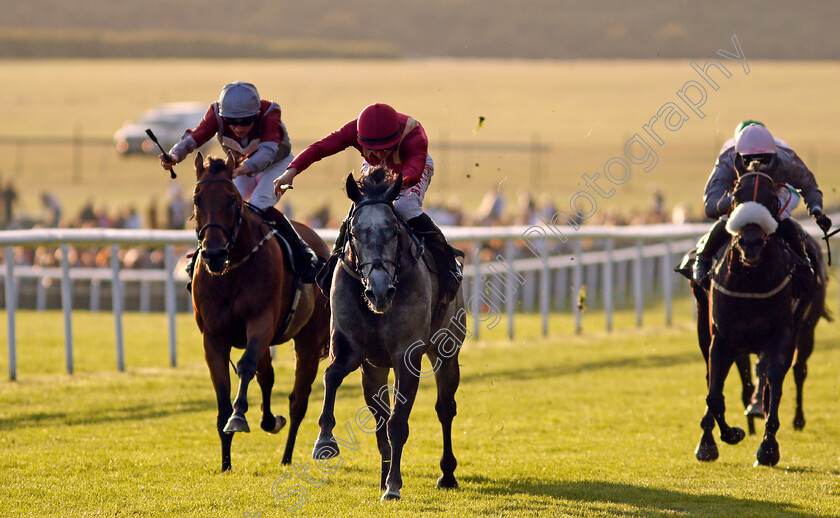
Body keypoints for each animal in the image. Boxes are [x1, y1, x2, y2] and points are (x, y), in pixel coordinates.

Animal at [190, 152, 332, 474]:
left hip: (308, 340)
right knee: (266, 376)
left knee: (298, 399)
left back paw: (287, 455)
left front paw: (239, 417)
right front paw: (226, 463)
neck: (232, 269)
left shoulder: (261, 321)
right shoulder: (212, 338)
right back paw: (270, 421)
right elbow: (223, 393)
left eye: (232, 200)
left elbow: (245, 367)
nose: (213, 254)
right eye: (196, 199)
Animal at [312, 169, 466, 502]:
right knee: (379, 416)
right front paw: (324, 441)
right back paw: (382, 476)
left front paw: (394, 486)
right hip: (374, 370)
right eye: (354, 232)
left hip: (446, 349)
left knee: (445, 408)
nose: (379, 291)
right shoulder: (351, 350)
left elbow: (399, 422)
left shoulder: (407, 355)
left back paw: (446, 474)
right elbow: (331, 377)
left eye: (394, 230)